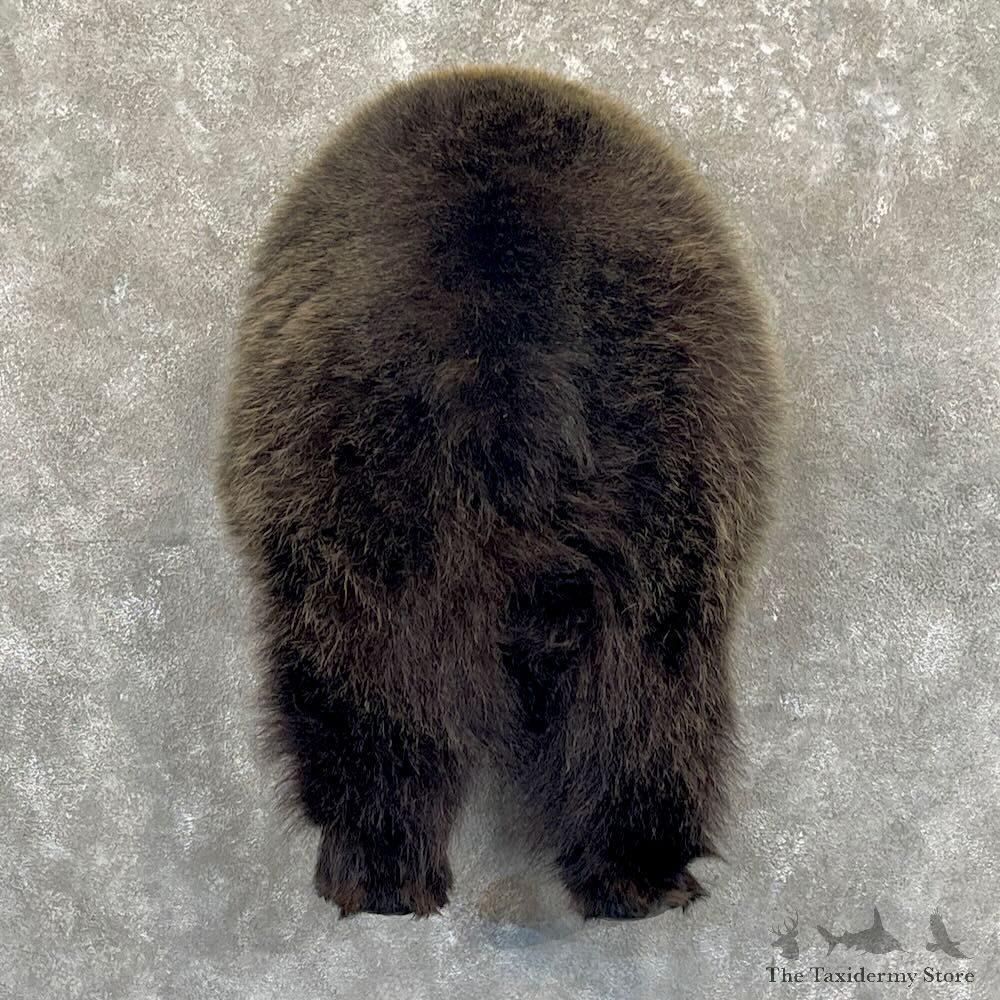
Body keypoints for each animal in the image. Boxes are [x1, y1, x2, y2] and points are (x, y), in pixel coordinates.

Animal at [216, 64, 786, 921]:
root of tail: (507, 377)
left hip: (361, 505)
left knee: (372, 687)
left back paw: (379, 865)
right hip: (665, 499)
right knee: (642, 696)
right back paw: (637, 870)